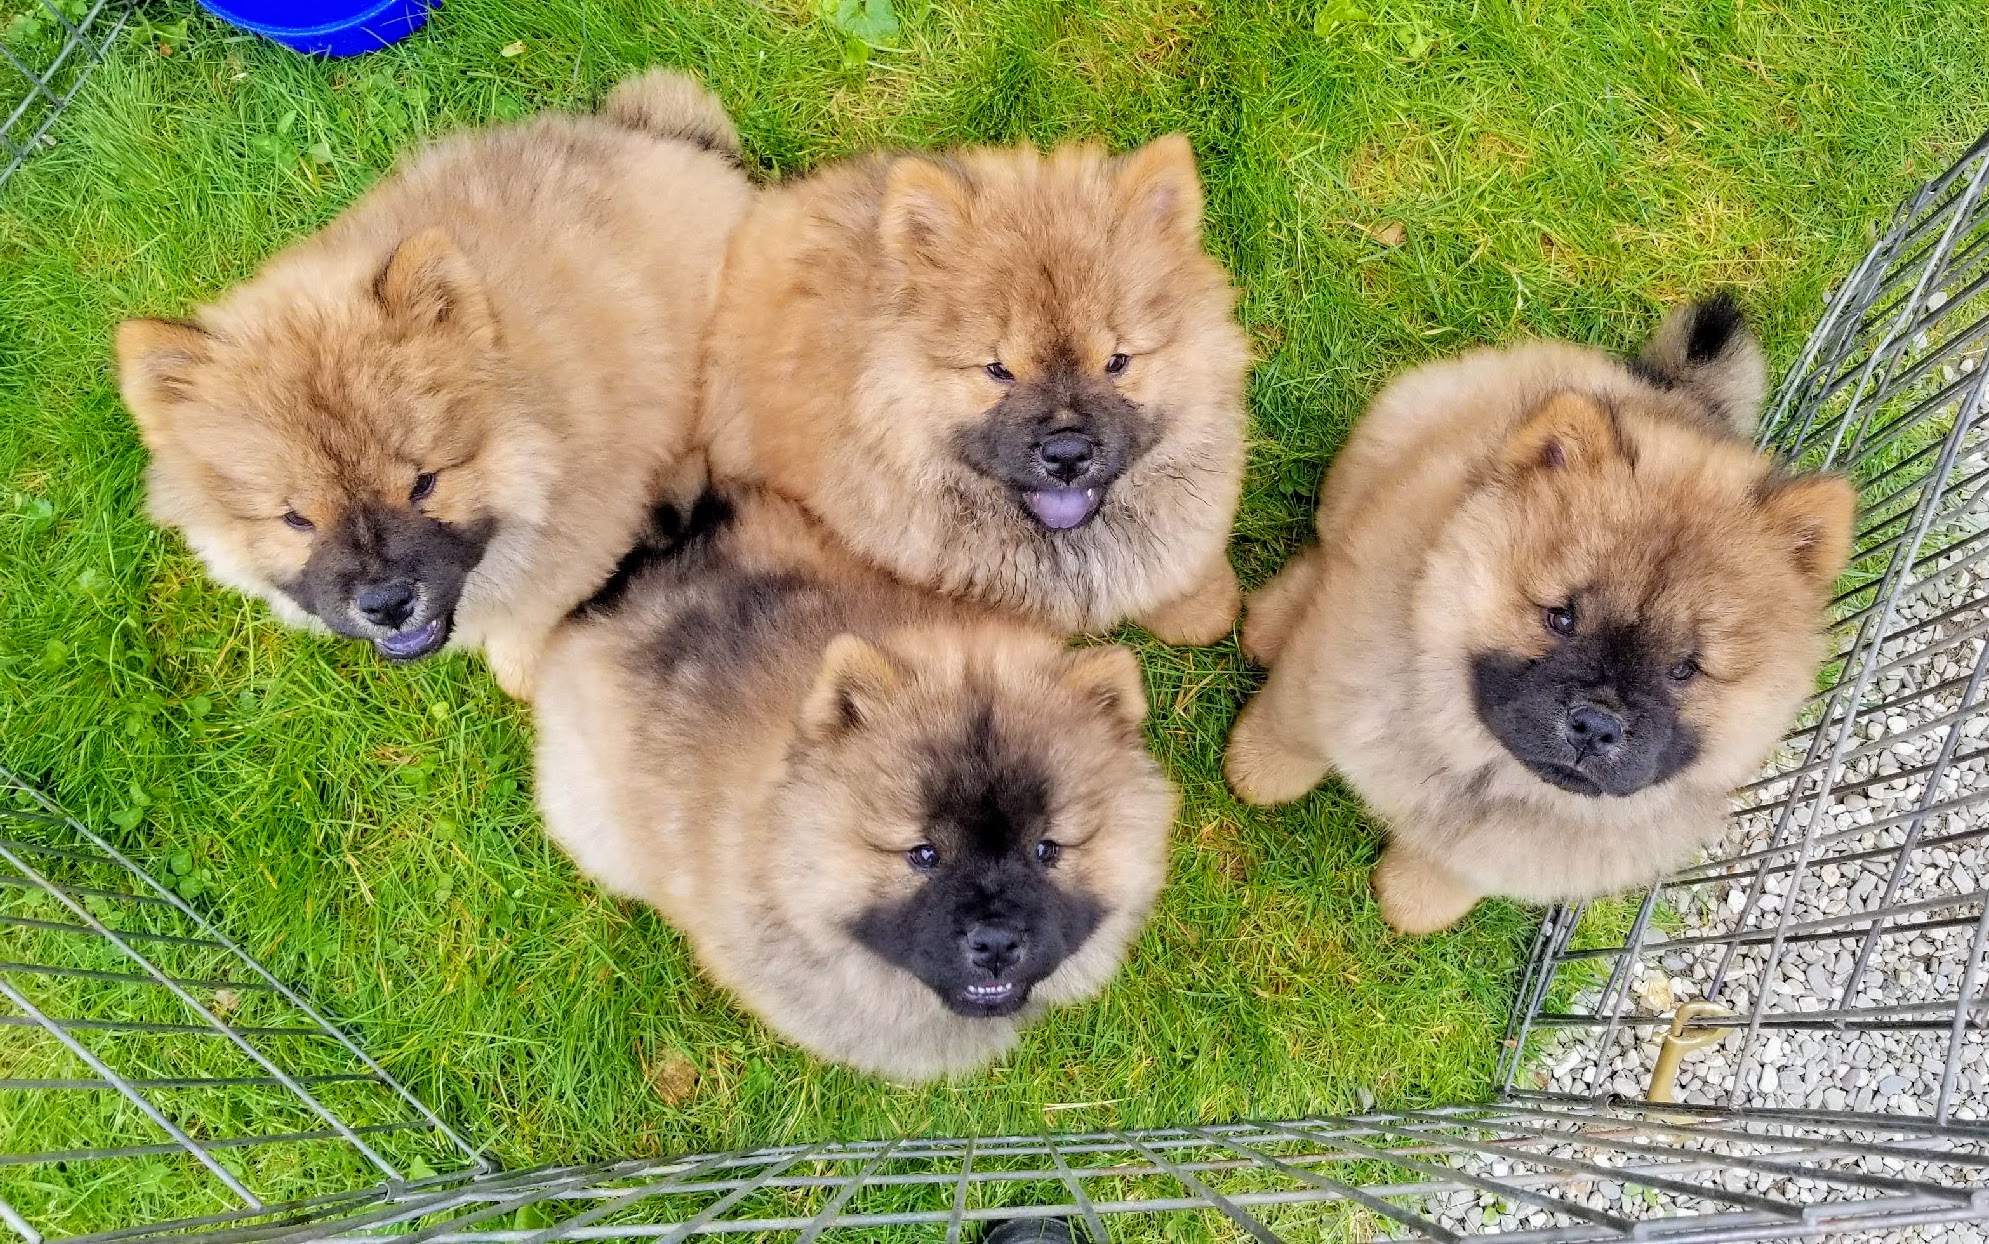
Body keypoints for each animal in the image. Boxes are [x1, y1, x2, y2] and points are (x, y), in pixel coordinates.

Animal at [1217, 298, 1853, 931]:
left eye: (1684, 670)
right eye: (1561, 618)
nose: (1596, 725)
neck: (1488, 771)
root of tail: (1670, 391)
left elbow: (1453, 872)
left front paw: (1411, 902)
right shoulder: (1330, 677)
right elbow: (1290, 730)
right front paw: (1256, 771)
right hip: (1390, 435)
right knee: (1330, 545)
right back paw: (1272, 622)